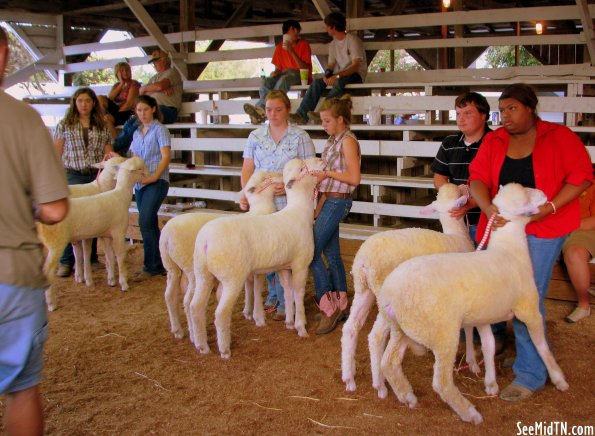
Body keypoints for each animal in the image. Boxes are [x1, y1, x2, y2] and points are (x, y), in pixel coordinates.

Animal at [39, 157, 146, 310]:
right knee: (47, 273)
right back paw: (51, 304)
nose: (148, 175)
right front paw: (124, 284)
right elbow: (120, 257)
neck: (120, 195)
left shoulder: (105, 235)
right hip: (55, 244)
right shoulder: (118, 234)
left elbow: (109, 257)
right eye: (140, 168)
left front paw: (111, 280)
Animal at [161, 170, 282, 340]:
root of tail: (166, 234)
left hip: (171, 267)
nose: (281, 174)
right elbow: (254, 288)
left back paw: (178, 330)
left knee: (170, 296)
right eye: (265, 178)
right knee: (188, 300)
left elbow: (249, 287)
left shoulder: (247, 266)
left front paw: (247, 312)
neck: (260, 210)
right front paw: (255, 315)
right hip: (191, 269)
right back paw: (194, 334)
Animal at [190, 157, 324, 358]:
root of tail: (205, 240)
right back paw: (225, 350)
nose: (321, 160)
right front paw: (301, 327)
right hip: (232, 277)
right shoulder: (300, 264)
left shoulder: (283, 266)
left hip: (203, 274)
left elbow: (288, 291)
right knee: (221, 314)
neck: (299, 212)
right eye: (302, 169)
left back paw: (202, 346)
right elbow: (298, 293)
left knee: (195, 307)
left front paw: (289, 322)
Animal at [342, 182, 478, 396]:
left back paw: (349, 379)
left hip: (363, 289)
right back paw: (380, 386)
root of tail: (364, 261)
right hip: (384, 295)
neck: (457, 235)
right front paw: (472, 362)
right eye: (459, 191)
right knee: (376, 336)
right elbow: (470, 329)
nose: (465, 184)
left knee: (351, 327)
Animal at [380, 182, 572, 424]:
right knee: (441, 383)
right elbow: (541, 346)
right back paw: (470, 413)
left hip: (400, 329)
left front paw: (490, 384)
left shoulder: (485, 316)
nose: (544, 193)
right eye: (526, 196)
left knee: (388, 363)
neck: (510, 251)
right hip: (442, 333)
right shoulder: (529, 310)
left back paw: (407, 397)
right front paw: (559, 379)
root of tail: (390, 293)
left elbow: (489, 346)